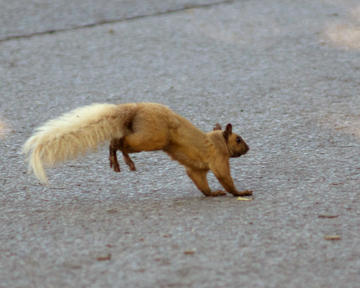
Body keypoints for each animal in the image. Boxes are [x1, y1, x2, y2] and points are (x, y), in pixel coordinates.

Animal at [22, 102, 252, 197]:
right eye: (238, 139)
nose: (248, 148)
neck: (216, 140)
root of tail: (136, 108)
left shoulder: (196, 169)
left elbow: (200, 182)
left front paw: (212, 193)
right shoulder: (218, 157)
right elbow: (225, 177)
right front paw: (241, 192)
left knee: (118, 140)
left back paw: (116, 160)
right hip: (152, 137)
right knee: (121, 142)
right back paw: (123, 159)